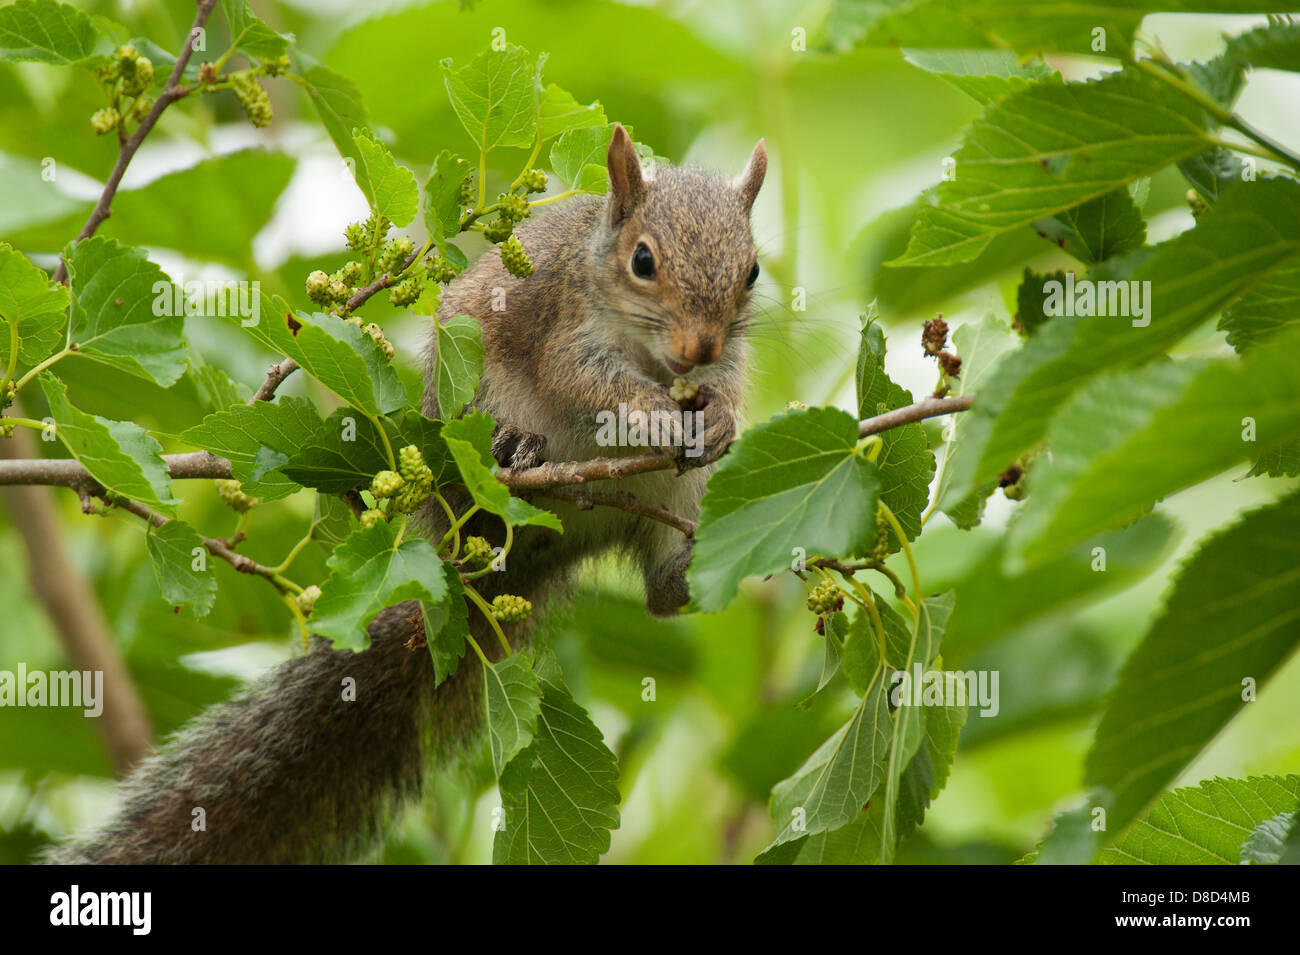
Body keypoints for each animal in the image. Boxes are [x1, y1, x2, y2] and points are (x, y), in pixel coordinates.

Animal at [46, 124, 767, 864]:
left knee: (661, 596)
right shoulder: (566, 328)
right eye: (643, 260)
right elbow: (588, 383)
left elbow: (725, 393)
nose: (701, 347)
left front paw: (720, 420)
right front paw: (653, 410)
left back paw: (711, 562)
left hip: (683, 500)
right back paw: (517, 447)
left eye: (752, 272)